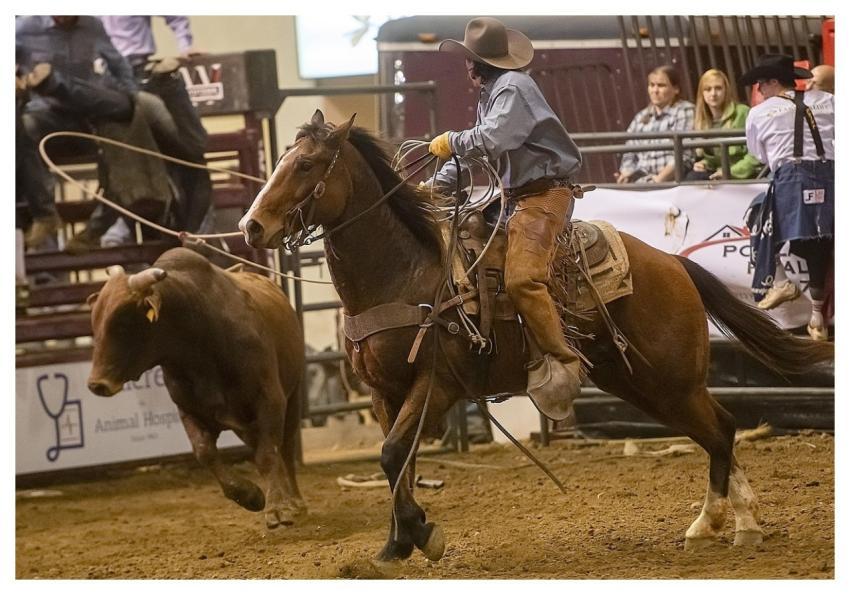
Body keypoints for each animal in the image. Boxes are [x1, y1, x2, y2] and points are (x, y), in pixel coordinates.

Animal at [239, 110, 833, 562]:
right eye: (281, 160)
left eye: (307, 164)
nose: (251, 227)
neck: (404, 275)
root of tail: (673, 264)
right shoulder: (384, 393)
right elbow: (397, 463)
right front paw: (400, 541)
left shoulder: (438, 385)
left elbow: (391, 456)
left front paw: (420, 535)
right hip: (640, 383)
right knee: (720, 430)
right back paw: (736, 523)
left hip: (670, 382)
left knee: (721, 430)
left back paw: (720, 522)